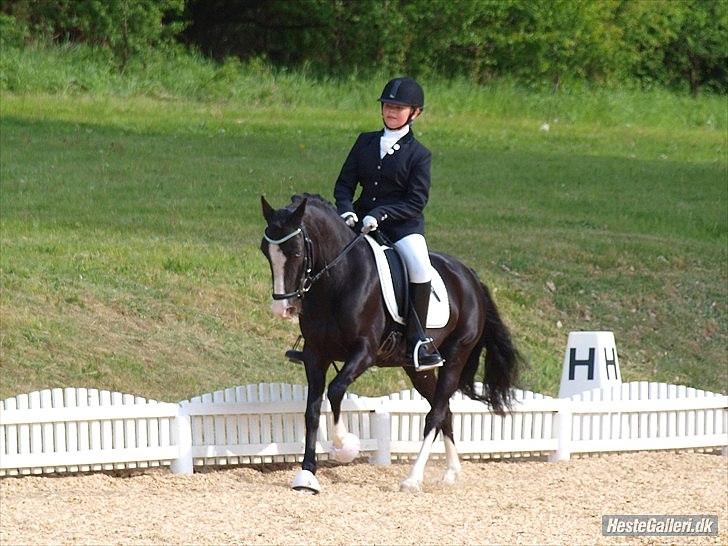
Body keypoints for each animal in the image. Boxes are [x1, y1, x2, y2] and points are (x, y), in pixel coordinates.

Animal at [259, 193, 522, 493]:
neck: (339, 280)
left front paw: (345, 446)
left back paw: (413, 478)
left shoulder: (364, 351)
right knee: (444, 410)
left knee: (435, 413)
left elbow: (336, 390)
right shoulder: (315, 354)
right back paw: (452, 471)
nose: (283, 309)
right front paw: (307, 474)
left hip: (456, 356)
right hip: (416, 368)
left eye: (296, 252)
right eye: (265, 251)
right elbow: (311, 411)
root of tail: (469, 275)